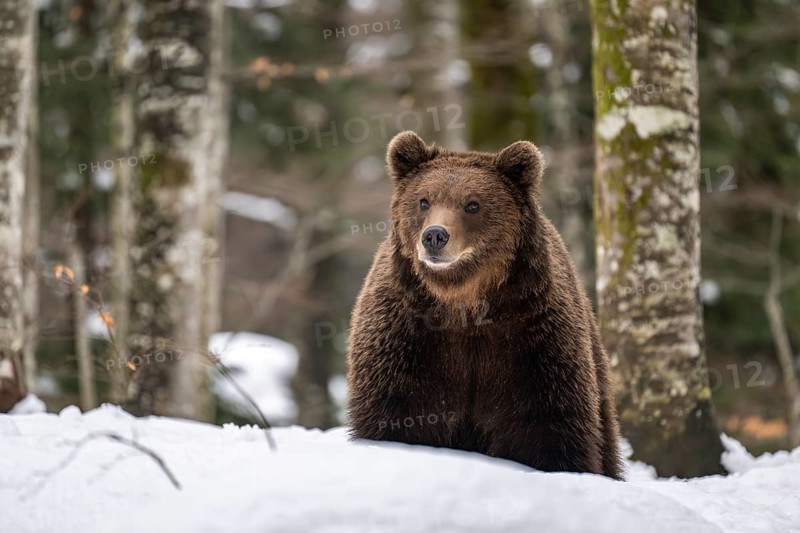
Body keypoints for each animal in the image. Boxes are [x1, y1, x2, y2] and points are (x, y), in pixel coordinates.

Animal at [346, 131, 623, 480]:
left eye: (472, 204)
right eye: (424, 200)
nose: (434, 236)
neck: (463, 303)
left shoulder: (534, 340)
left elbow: (550, 426)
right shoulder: (406, 336)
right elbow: (396, 414)